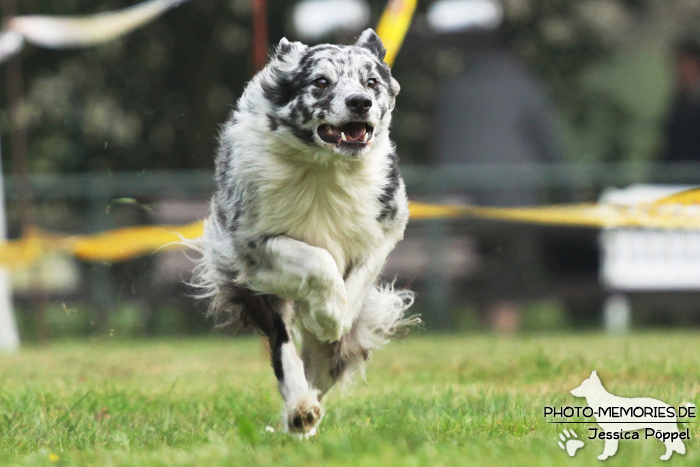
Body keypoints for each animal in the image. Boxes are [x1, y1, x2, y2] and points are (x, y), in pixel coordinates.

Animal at [193, 29, 416, 436]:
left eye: (371, 83)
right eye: (321, 82)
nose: (360, 102)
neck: (326, 169)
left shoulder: (386, 226)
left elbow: (357, 281)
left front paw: (334, 316)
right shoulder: (251, 244)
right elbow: (318, 260)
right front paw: (325, 312)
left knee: (324, 365)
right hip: (262, 296)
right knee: (286, 351)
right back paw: (299, 409)